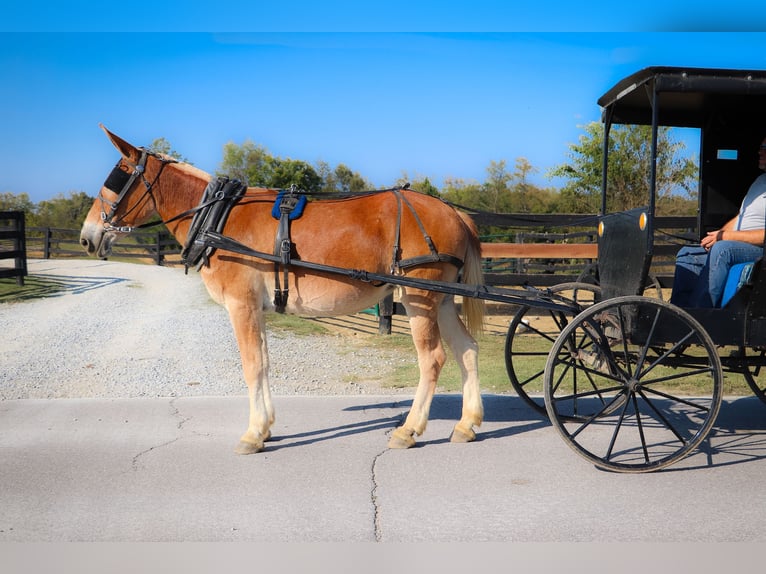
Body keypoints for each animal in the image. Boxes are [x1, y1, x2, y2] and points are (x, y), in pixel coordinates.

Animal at [80, 125, 485, 454]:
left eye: (117, 178)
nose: (87, 236)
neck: (218, 218)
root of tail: (454, 213)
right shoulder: (255, 309)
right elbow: (263, 363)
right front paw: (266, 428)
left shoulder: (240, 305)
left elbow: (251, 365)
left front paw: (253, 434)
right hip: (441, 299)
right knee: (466, 350)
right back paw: (466, 424)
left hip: (420, 298)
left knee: (433, 358)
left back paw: (409, 430)